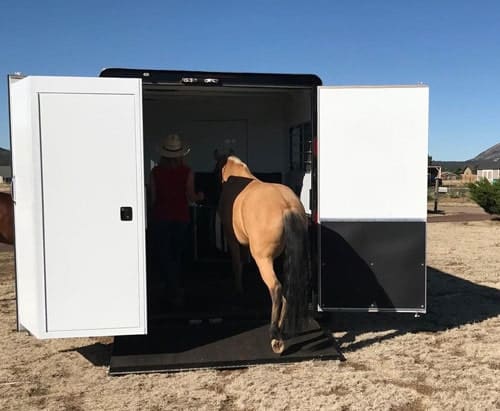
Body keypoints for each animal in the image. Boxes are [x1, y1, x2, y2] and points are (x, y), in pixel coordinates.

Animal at [217, 154, 310, 354]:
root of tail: (287, 207)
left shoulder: (232, 240)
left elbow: (237, 264)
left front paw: (239, 289)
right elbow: (243, 261)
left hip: (264, 260)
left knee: (276, 288)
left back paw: (275, 334)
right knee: (288, 289)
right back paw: (281, 328)